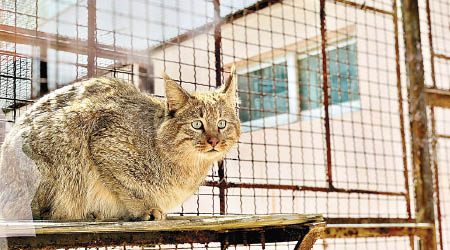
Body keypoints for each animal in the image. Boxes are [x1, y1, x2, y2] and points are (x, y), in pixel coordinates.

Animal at [0, 67, 241, 220]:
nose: (214, 141)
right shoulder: (101, 142)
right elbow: (126, 186)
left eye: (221, 123)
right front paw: (145, 209)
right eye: (197, 124)